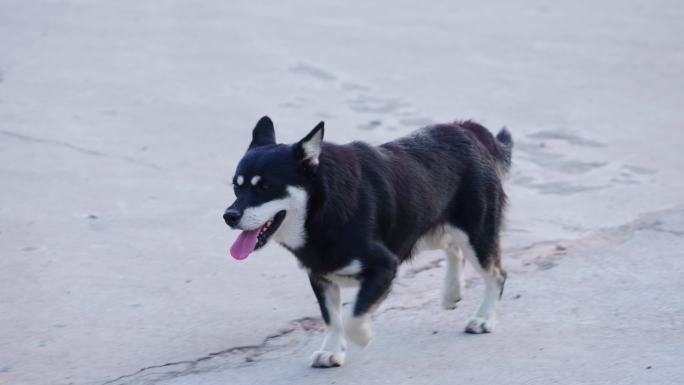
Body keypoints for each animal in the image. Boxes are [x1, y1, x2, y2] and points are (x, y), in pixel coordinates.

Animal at [222, 115, 510, 368]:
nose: (229, 216)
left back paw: (484, 318)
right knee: (452, 248)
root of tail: (466, 130)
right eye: (236, 186)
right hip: (425, 227)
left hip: (476, 234)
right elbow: (332, 319)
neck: (320, 208)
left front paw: (362, 336)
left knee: (496, 275)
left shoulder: (385, 266)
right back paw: (452, 291)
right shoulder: (320, 277)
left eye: (265, 187)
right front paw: (332, 351)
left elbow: (353, 315)